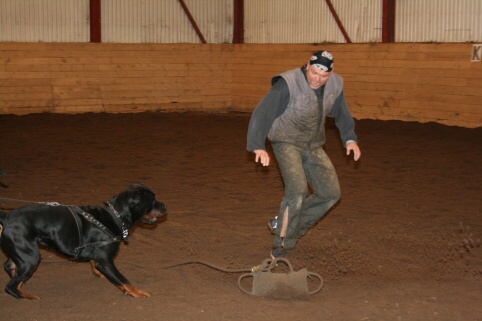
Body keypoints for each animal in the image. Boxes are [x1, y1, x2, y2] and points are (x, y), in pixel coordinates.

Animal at [0, 184, 168, 298]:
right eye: (152, 201)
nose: (165, 206)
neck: (115, 217)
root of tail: (7, 216)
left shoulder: (99, 257)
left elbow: (94, 263)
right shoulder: (105, 260)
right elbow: (123, 279)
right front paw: (138, 292)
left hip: (22, 252)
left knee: (9, 266)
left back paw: (22, 285)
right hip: (31, 257)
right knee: (10, 287)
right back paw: (28, 296)